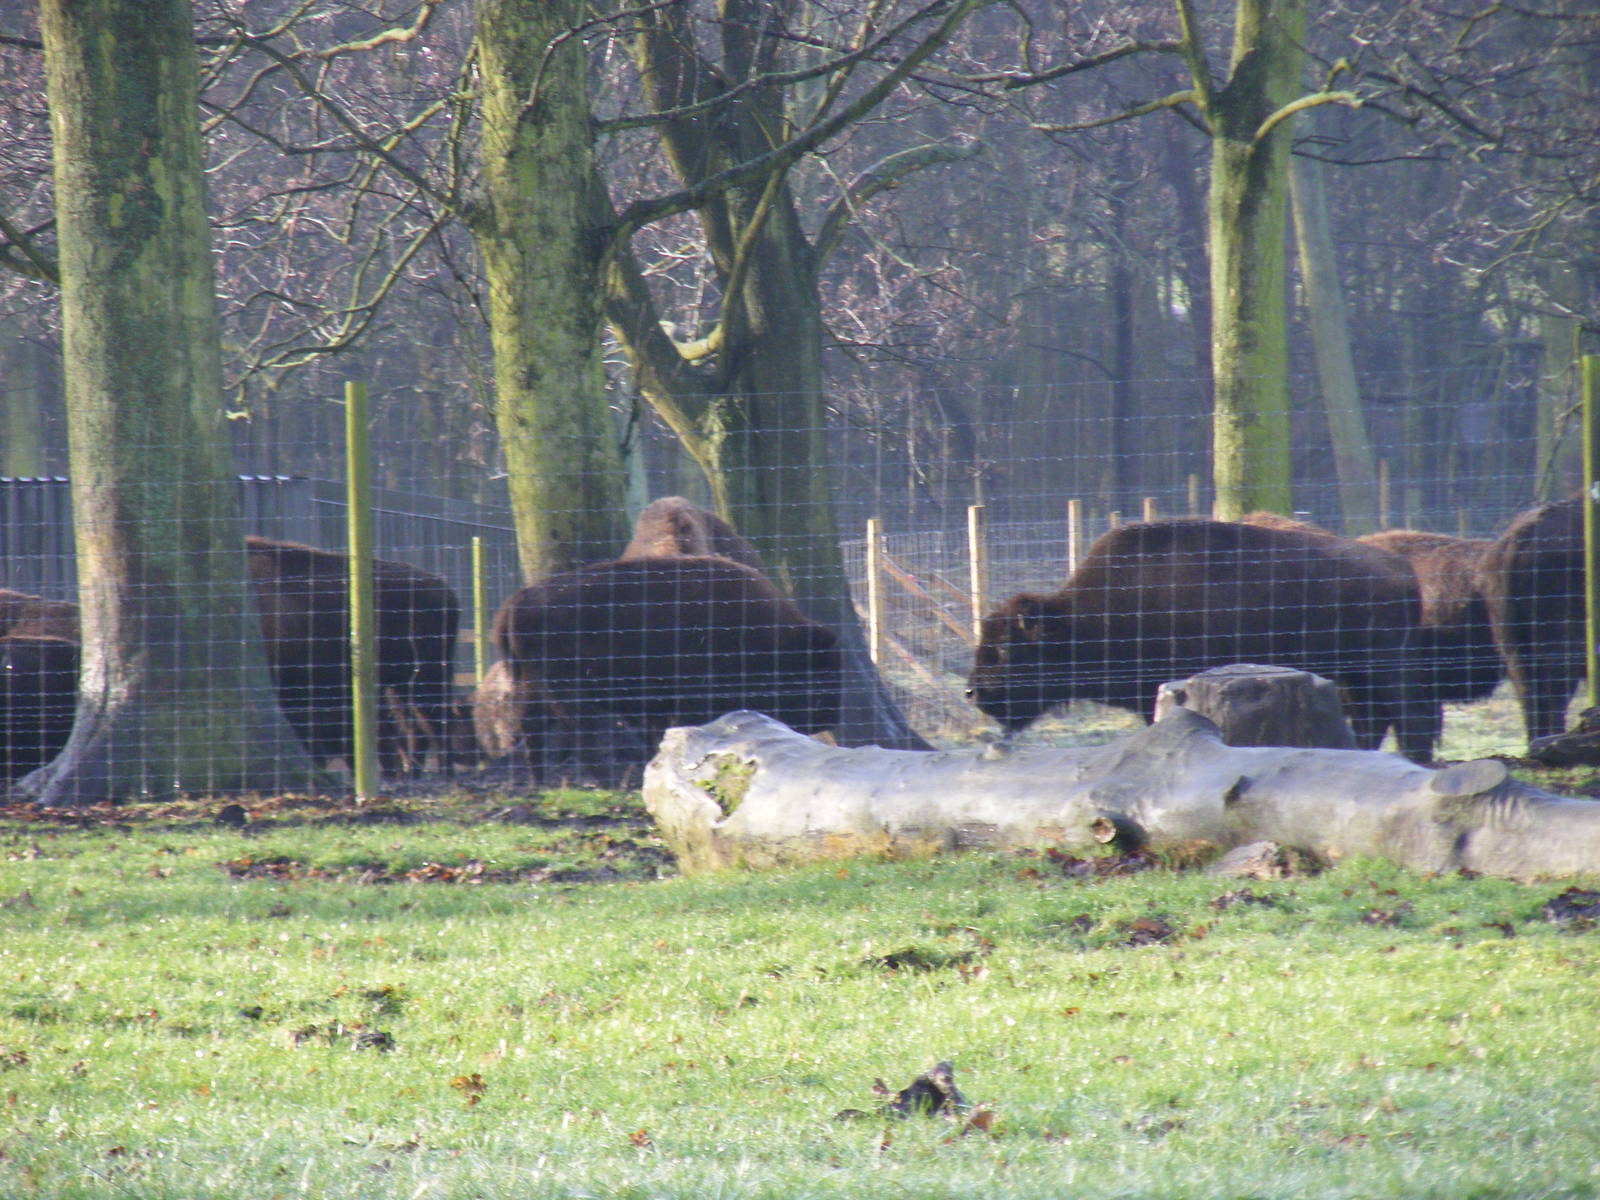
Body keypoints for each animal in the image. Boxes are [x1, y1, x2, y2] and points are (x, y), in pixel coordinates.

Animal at [967, 518, 1435, 761]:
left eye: (1004, 649)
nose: (972, 691)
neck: (1080, 618)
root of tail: (1402, 570)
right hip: (1356, 677)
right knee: (1375, 722)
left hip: (1384, 670)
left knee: (1411, 721)